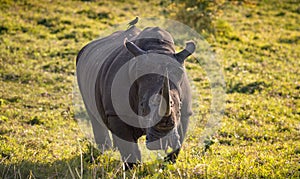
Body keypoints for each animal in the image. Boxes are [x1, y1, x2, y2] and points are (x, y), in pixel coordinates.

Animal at [76, 24, 195, 169]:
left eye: (179, 106)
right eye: (142, 105)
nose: (163, 141)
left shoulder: (185, 113)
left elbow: (178, 141)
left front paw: (167, 166)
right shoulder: (118, 114)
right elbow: (129, 148)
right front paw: (133, 169)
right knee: (93, 115)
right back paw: (106, 150)